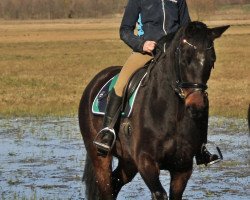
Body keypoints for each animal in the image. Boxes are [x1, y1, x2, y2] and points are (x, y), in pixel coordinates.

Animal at [79, 21, 229, 199]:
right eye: (185, 59)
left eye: (212, 60)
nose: (197, 105)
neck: (171, 115)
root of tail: (96, 80)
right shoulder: (146, 161)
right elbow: (159, 193)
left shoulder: (182, 168)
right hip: (101, 158)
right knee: (107, 188)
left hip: (128, 161)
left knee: (115, 182)